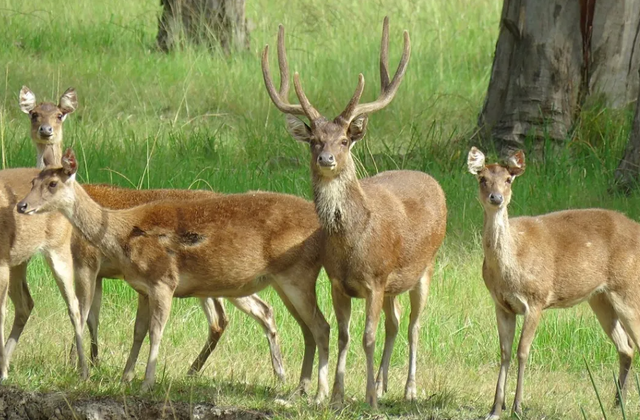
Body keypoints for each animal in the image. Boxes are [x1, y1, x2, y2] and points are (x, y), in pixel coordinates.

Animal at [15, 87, 286, 382]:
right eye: (33, 114)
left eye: (60, 114)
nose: (46, 130)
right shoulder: (97, 271)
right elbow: (93, 315)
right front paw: (95, 361)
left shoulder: (87, 260)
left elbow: (82, 311)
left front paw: (78, 365)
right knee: (251, 312)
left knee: (232, 316)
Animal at [18, 148, 332, 400]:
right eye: (32, 181)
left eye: (53, 183)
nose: (22, 205)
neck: (122, 235)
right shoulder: (142, 287)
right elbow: (137, 331)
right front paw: (125, 377)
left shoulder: (161, 280)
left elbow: (154, 330)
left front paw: (146, 382)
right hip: (281, 283)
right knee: (298, 325)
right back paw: (298, 386)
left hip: (297, 275)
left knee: (320, 326)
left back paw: (317, 392)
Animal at [262, 18, 448, 406]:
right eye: (314, 140)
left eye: (345, 140)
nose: (326, 158)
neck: (352, 243)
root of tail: (432, 181)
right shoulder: (338, 281)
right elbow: (345, 335)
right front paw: (337, 395)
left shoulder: (375, 280)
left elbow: (367, 337)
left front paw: (369, 400)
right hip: (395, 283)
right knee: (395, 321)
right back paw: (382, 381)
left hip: (426, 266)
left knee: (414, 325)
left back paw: (407, 389)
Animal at [464, 148, 640, 420]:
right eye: (482, 179)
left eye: (508, 179)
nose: (496, 198)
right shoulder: (501, 304)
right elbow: (504, 352)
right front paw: (495, 409)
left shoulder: (536, 299)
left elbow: (522, 351)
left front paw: (517, 407)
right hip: (600, 298)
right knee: (626, 347)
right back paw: (615, 403)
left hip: (629, 288)